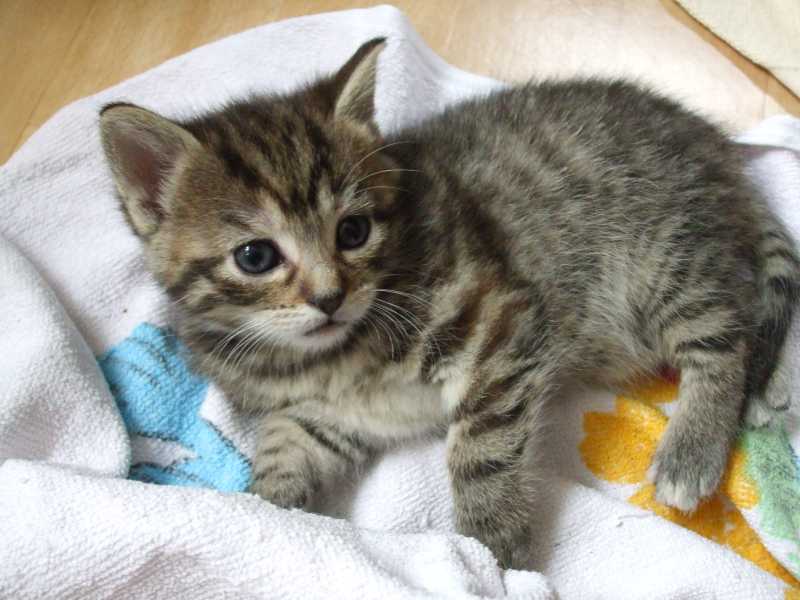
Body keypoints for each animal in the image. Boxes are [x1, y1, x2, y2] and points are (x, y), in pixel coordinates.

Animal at [97, 38, 796, 572]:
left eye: (354, 231)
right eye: (255, 257)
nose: (329, 297)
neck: (330, 355)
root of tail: (715, 146)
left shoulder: (497, 319)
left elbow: (480, 443)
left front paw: (491, 547)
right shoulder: (318, 416)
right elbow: (282, 452)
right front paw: (266, 517)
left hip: (662, 256)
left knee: (724, 338)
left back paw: (692, 449)